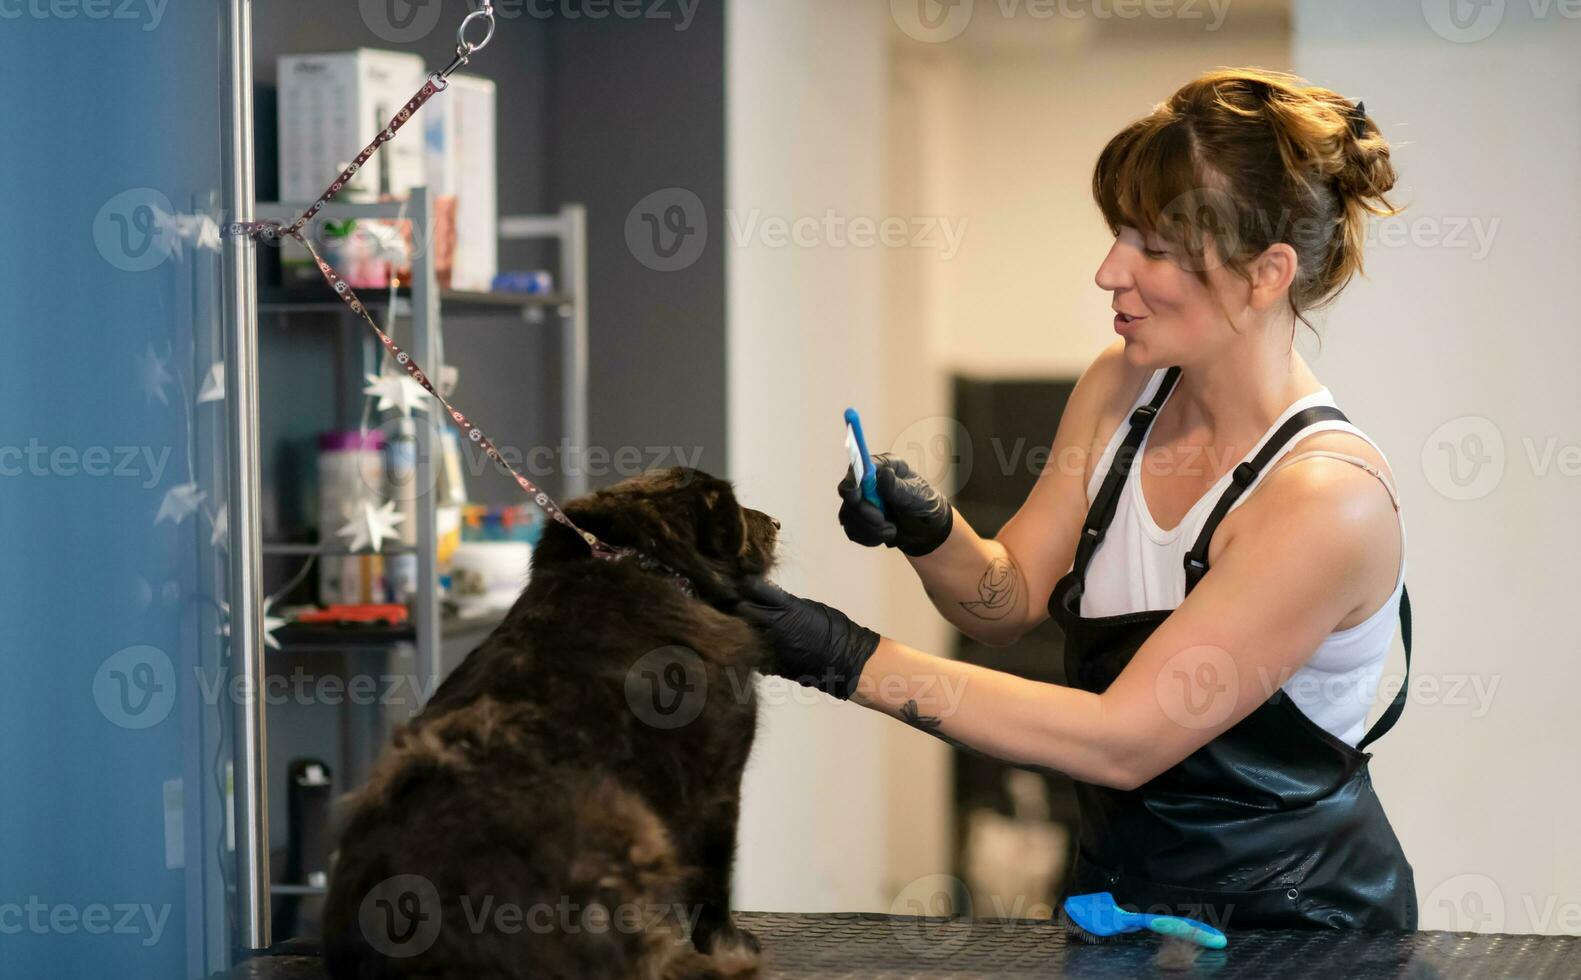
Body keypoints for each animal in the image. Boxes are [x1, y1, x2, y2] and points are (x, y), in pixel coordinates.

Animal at [324, 467, 781, 980]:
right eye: (737, 509)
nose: (777, 522)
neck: (645, 564)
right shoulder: (718, 783)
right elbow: (715, 882)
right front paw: (730, 944)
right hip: (626, 828)